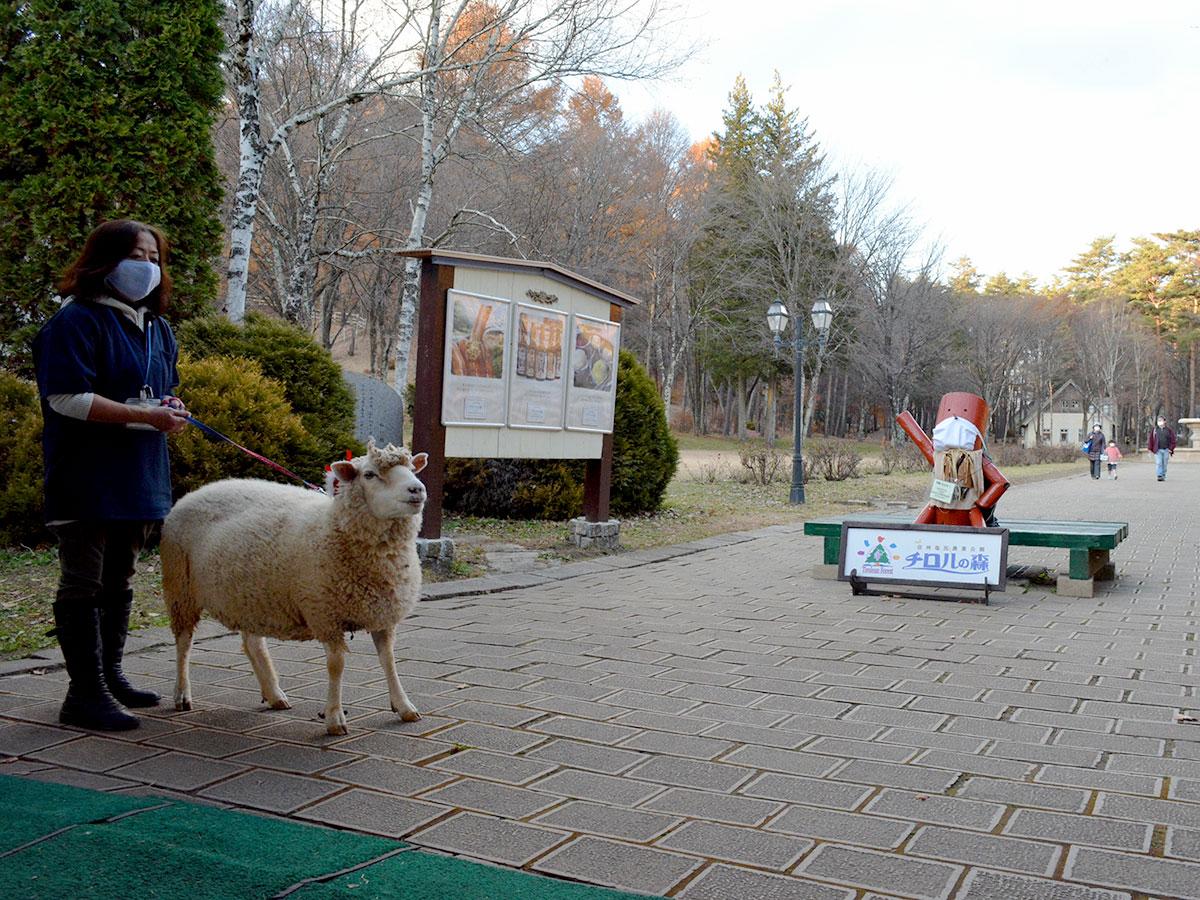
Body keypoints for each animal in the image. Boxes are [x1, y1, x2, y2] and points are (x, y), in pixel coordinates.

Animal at [162, 441, 429, 734]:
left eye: (412, 469)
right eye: (369, 474)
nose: (417, 489)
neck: (334, 526)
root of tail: (194, 493)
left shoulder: (382, 614)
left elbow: (389, 660)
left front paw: (404, 707)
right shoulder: (325, 614)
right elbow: (336, 665)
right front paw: (335, 718)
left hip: (251, 595)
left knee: (252, 643)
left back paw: (274, 694)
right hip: (180, 587)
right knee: (184, 643)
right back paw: (182, 694)